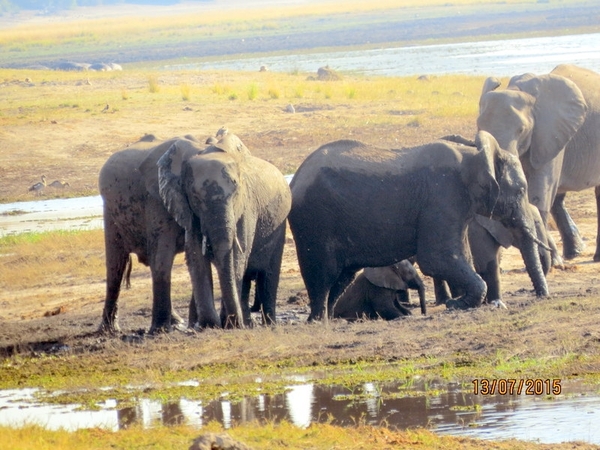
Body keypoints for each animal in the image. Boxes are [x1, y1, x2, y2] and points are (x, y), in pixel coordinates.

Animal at [98, 132, 248, 332]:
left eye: (236, 191)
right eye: (195, 197)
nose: (233, 325)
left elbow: (196, 255)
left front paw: (194, 324)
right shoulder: (158, 198)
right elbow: (163, 258)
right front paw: (159, 330)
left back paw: (178, 322)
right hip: (110, 210)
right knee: (116, 266)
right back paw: (110, 330)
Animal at [157, 135, 292, 328]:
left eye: (235, 193)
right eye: (195, 197)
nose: (233, 322)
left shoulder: (246, 208)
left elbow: (237, 257)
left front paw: (229, 324)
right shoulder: (190, 214)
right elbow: (196, 258)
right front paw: (209, 325)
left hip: (279, 224)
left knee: (268, 274)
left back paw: (264, 324)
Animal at [288, 129, 552, 320]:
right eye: (521, 191)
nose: (543, 298)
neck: (475, 154)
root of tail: (295, 179)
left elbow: (457, 256)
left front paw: (458, 303)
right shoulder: (442, 195)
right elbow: (436, 258)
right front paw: (456, 305)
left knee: (342, 277)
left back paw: (329, 320)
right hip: (314, 219)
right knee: (323, 274)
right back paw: (317, 321)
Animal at [478, 62, 600, 264]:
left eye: (521, 130)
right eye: (479, 127)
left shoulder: (550, 133)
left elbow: (538, 195)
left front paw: (548, 264)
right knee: (557, 198)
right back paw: (572, 254)